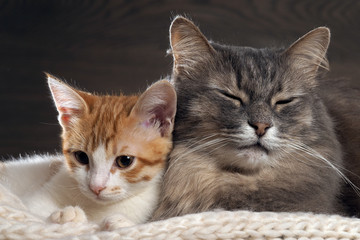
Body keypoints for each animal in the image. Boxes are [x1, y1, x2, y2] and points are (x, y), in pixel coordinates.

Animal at [0, 74, 176, 228]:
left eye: (124, 161)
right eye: (81, 157)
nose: (96, 187)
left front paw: (120, 222)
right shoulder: (37, 197)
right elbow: (33, 213)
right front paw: (66, 215)